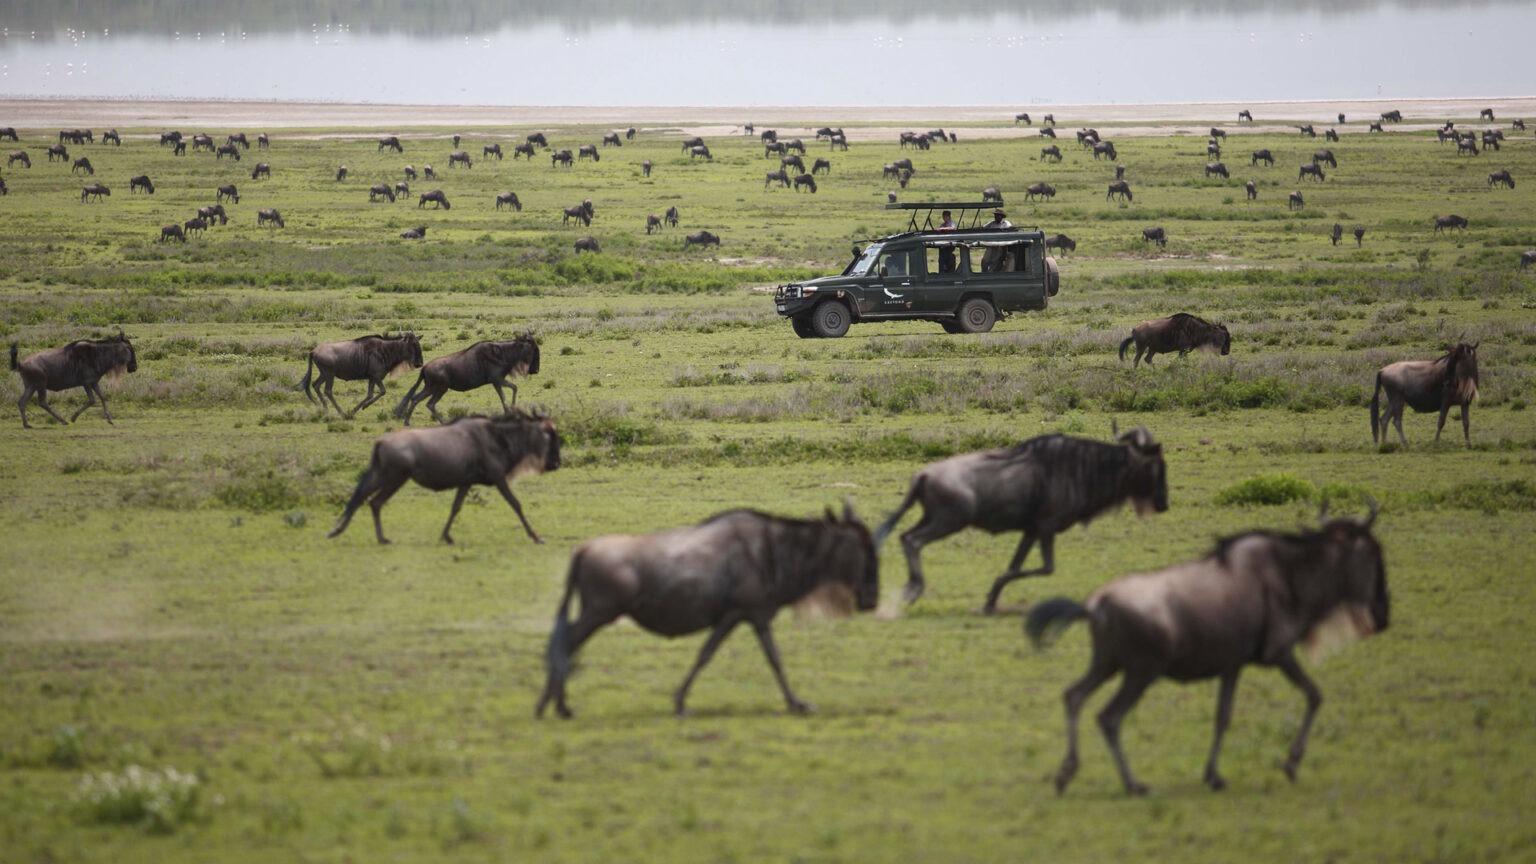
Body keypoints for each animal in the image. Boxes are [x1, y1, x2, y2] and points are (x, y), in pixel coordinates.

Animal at [327, 405, 562, 541]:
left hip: (380, 476)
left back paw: (338, 531)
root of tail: (380, 442)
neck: (497, 437)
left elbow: (455, 507)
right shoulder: (498, 477)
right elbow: (516, 504)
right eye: (548, 432)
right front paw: (535, 535)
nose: (556, 463)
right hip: (395, 478)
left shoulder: (466, 482)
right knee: (374, 502)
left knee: (359, 498)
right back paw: (381, 538)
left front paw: (446, 536)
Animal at [537, 501, 878, 716]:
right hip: (598, 613)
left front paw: (796, 704)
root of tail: (583, 550)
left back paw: (553, 704)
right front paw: (680, 702)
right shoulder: (738, 614)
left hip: (594, 613)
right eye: (866, 548)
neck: (774, 549)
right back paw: (556, 706)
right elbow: (713, 654)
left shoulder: (753, 617)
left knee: (563, 642)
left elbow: (771, 659)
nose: (871, 599)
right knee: (565, 642)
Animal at [878, 427, 1161, 605]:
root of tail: (923, 475)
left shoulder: (1034, 528)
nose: (1161, 502)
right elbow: (1040, 565)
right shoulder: (1044, 526)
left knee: (908, 537)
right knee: (913, 540)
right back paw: (913, 589)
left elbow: (1018, 565)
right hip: (949, 519)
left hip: (935, 517)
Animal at [1032, 504, 1394, 793]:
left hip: (1107, 664)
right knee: (1109, 717)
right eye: (1374, 553)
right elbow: (1315, 695)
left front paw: (1214, 775)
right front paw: (1290, 763)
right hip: (1141, 671)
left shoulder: (1232, 663)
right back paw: (1132, 784)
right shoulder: (1278, 652)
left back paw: (1067, 774)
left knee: (1074, 696)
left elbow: (1223, 716)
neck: (1291, 576)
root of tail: (1097, 604)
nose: (1383, 614)